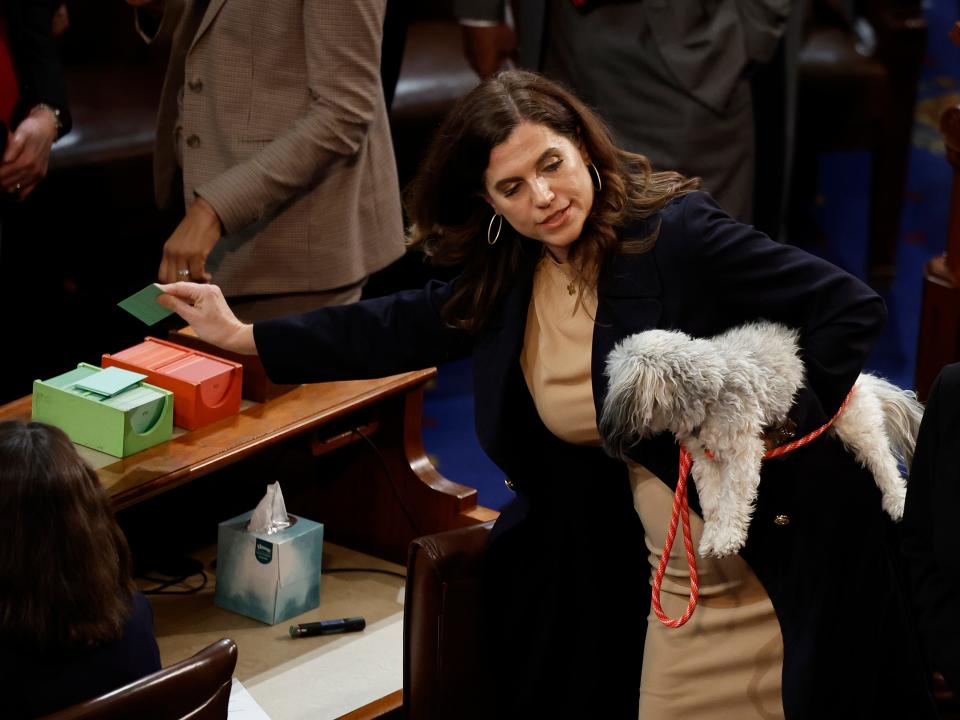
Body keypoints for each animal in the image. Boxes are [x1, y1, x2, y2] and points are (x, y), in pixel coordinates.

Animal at [600, 324, 924, 560]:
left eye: (612, 378)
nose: (607, 426)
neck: (709, 391)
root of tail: (862, 377)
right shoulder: (706, 461)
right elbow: (713, 502)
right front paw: (713, 538)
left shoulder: (743, 451)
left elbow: (733, 498)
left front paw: (729, 538)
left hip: (855, 423)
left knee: (883, 462)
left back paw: (897, 500)